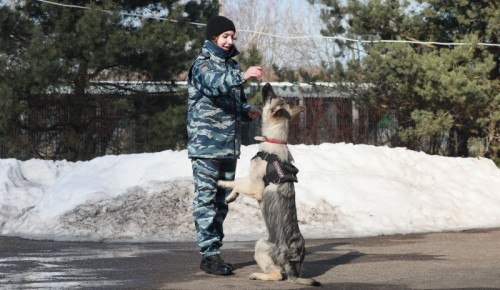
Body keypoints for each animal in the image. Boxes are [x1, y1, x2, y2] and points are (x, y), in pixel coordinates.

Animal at [218, 82, 320, 286]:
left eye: (272, 97)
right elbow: (239, 182)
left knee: (279, 275)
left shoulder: (256, 188)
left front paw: (222, 183)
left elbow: (236, 182)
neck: (275, 140)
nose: (266, 83)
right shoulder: (251, 180)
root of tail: (291, 261)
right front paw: (231, 196)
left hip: (260, 245)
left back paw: (258, 275)